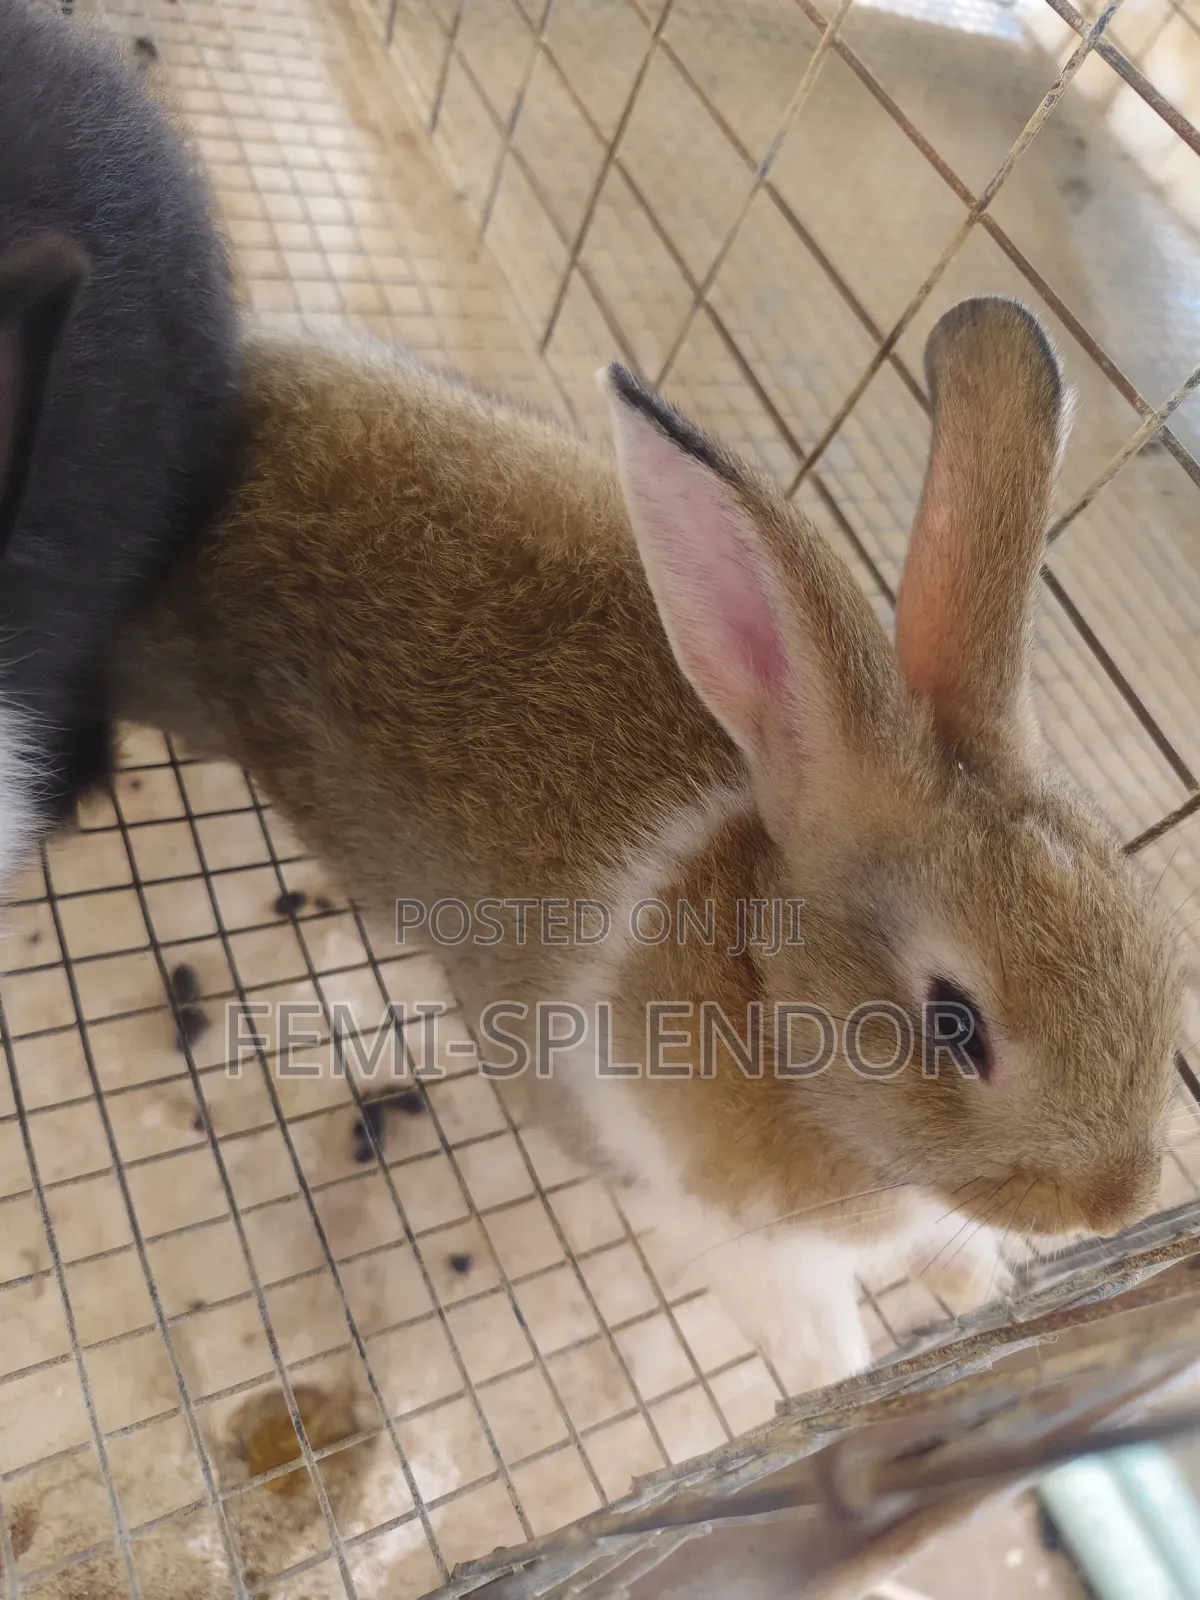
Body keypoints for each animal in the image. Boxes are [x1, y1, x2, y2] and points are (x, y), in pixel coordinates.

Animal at [108, 297, 1184, 1395]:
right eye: (957, 1022)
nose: (1117, 1201)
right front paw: (840, 1374)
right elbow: (806, 1325)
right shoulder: (709, 1222)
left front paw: (980, 1284)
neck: (769, 992)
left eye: (1156, 946)